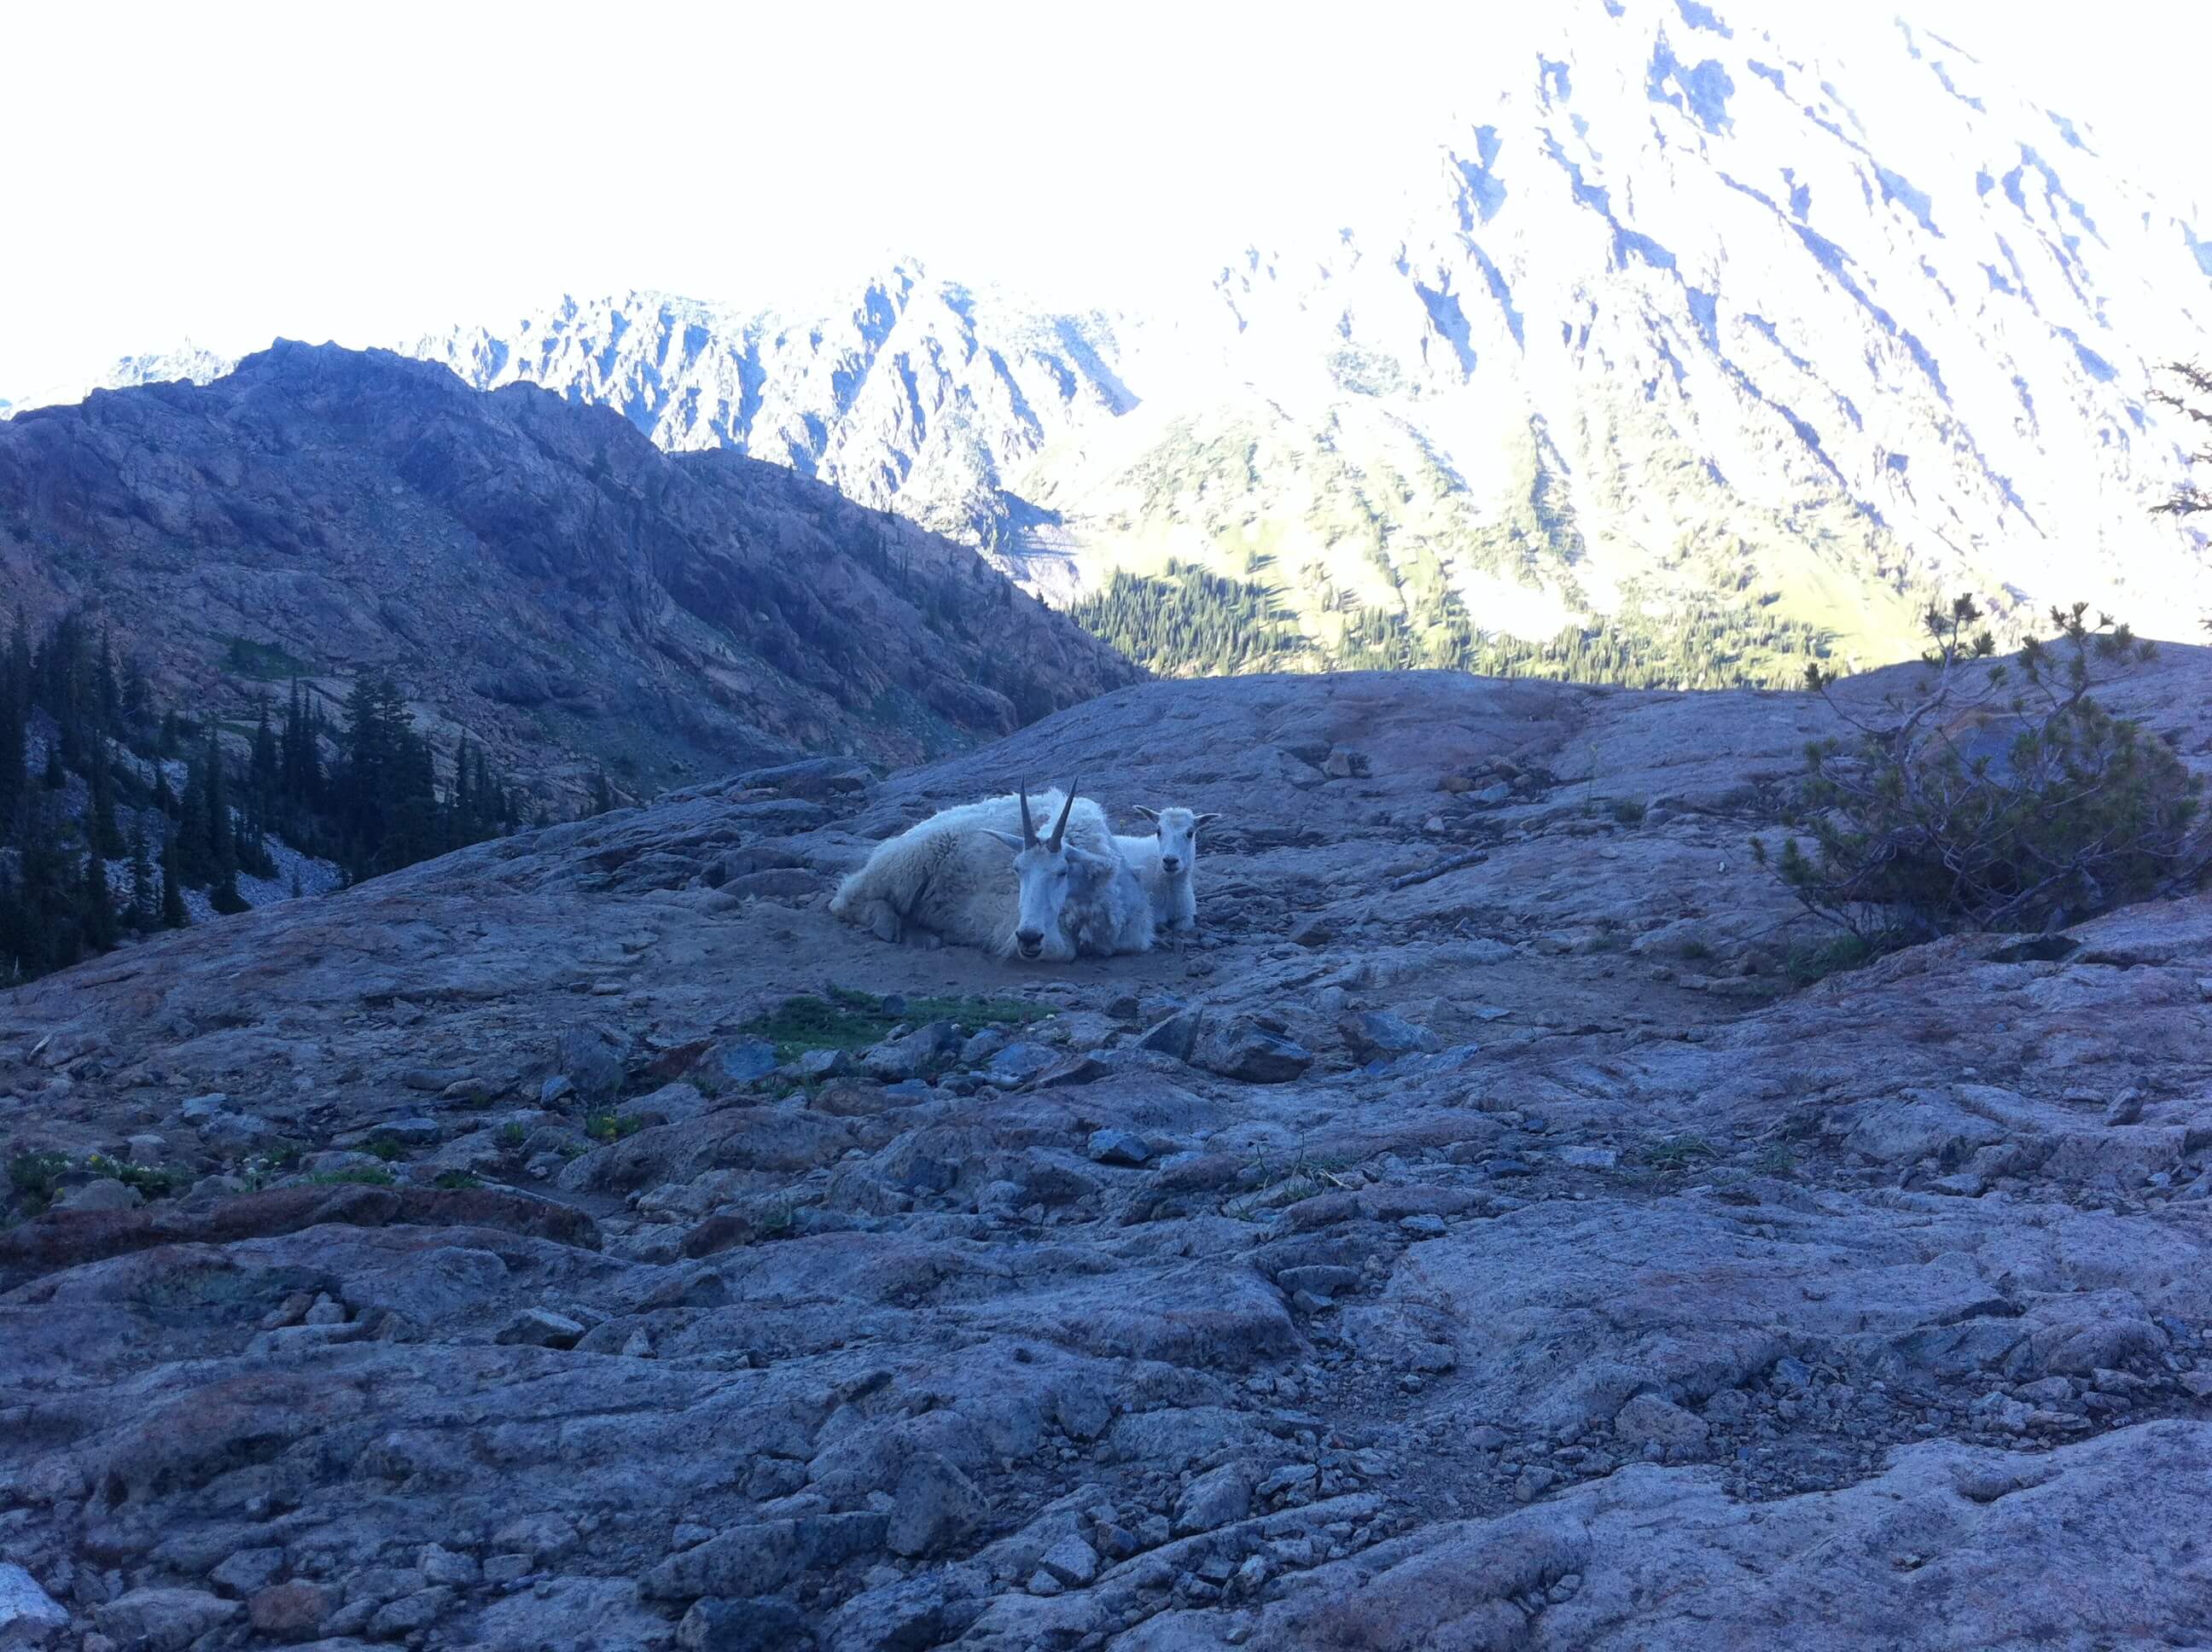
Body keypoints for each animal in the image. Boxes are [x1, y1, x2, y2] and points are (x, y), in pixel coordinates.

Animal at [831, 781, 1154, 961]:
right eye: (1016, 869)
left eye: (1062, 872)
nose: (1028, 938)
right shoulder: (1000, 916)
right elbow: (1060, 950)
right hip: (907, 862)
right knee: (845, 900)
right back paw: (890, 925)